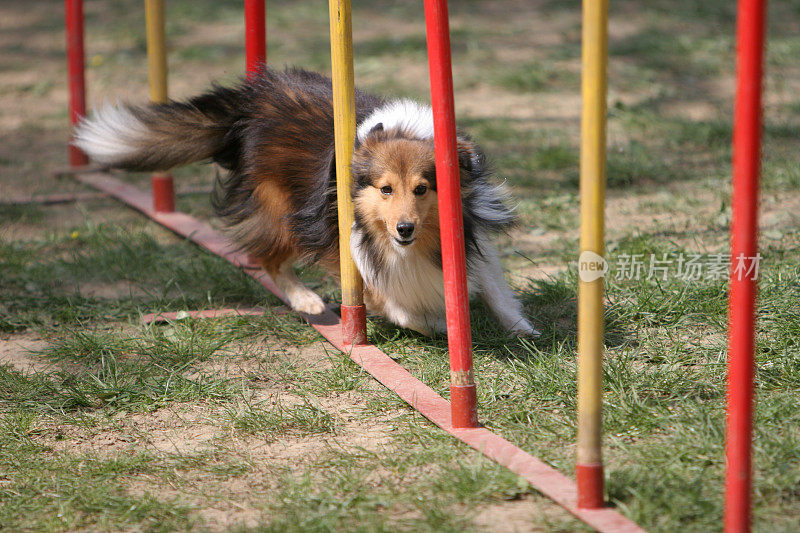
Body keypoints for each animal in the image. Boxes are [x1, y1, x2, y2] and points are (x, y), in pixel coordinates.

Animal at [76, 65, 536, 332]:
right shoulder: (356, 253)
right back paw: (308, 301)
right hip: (281, 210)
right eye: (385, 189)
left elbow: (494, 287)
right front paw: (436, 322)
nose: (404, 228)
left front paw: (523, 331)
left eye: (422, 189)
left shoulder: (471, 238)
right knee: (268, 259)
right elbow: (398, 306)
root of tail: (250, 103)